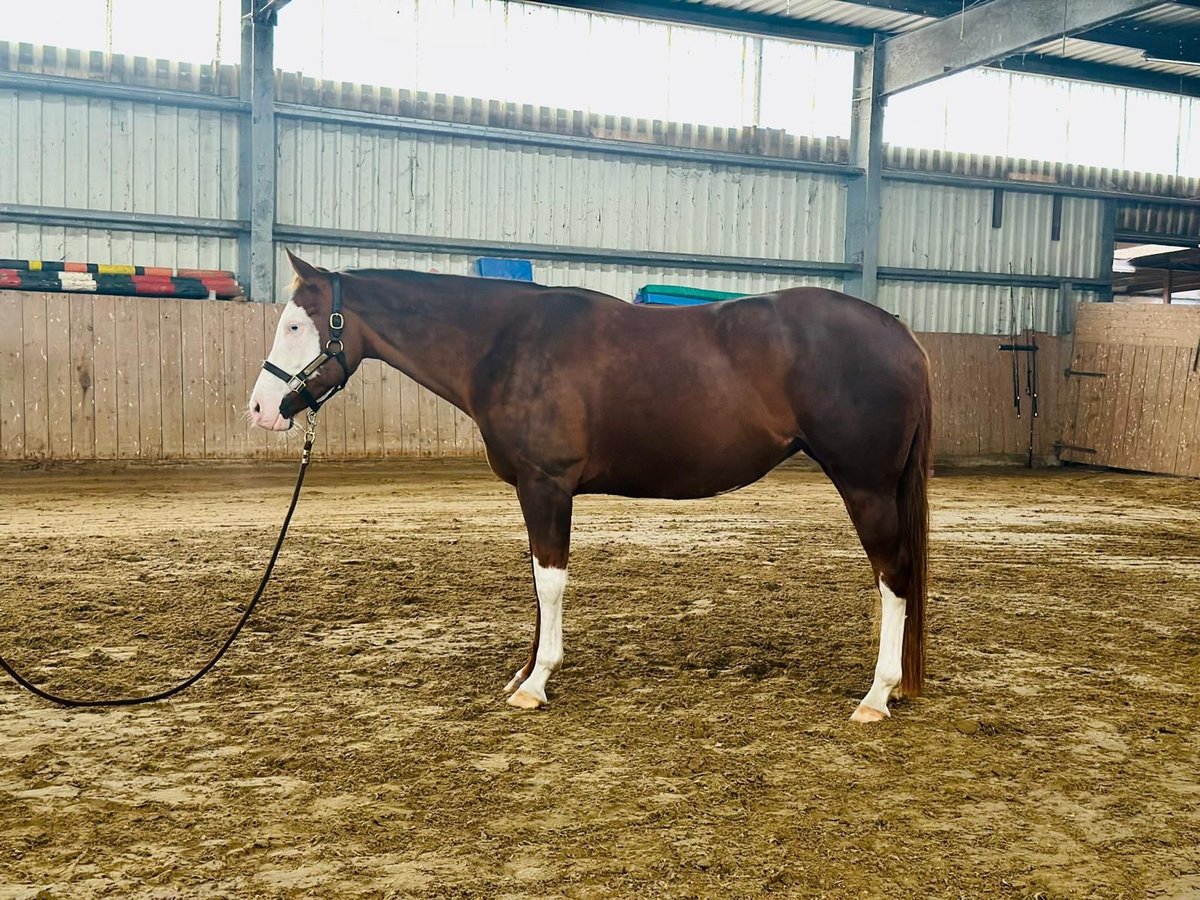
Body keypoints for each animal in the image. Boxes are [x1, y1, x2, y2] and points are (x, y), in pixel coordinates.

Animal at [249, 251, 932, 723]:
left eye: (296, 325)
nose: (259, 409)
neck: (507, 344)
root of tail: (901, 334)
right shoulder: (535, 492)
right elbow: (537, 579)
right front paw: (523, 673)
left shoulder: (546, 485)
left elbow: (550, 582)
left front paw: (536, 684)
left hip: (866, 487)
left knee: (894, 576)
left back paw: (877, 696)